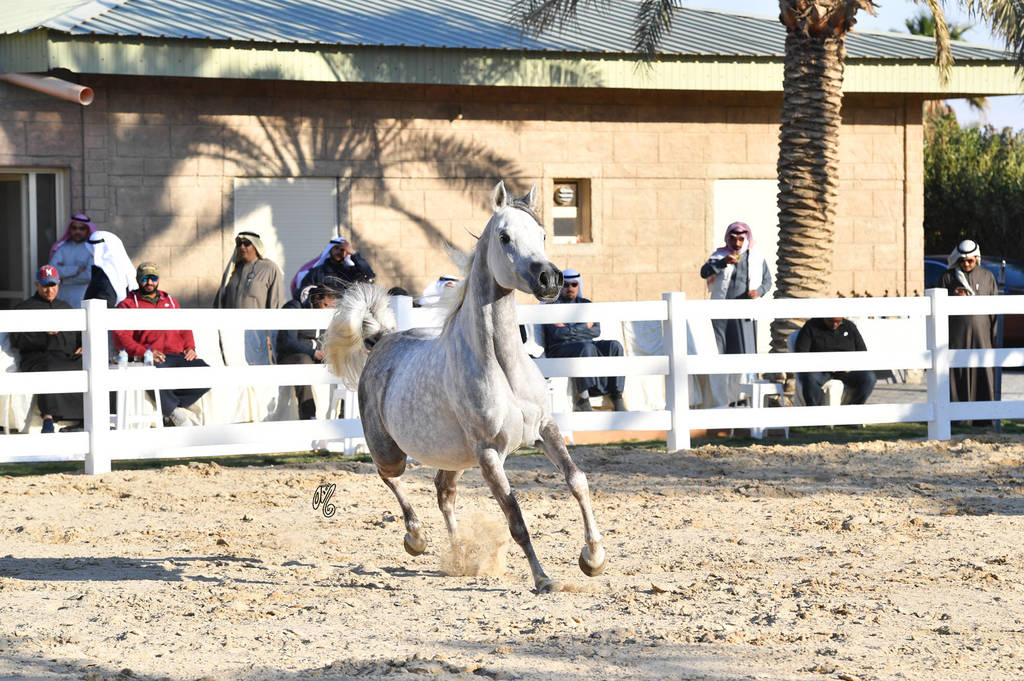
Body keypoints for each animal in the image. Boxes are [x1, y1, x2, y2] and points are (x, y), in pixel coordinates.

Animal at [324, 180, 606, 592]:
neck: (503, 368)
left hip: (454, 456)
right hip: (391, 451)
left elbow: (577, 480)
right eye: (504, 236)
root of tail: (383, 339)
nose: (550, 279)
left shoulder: (545, 428)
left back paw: (458, 556)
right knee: (390, 477)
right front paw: (543, 579)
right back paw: (416, 538)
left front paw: (593, 558)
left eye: (542, 234)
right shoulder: (488, 453)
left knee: (444, 492)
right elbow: (515, 517)